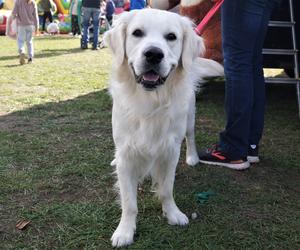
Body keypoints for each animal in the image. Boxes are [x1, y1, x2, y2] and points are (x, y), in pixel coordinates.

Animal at [103, 8, 223, 248]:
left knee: (191, 136)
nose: (153, 54)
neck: (151, 101)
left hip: (189, 116)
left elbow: (167, 189)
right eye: (137, 33)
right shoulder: (126, 153)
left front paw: (173, 213)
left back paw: (193, 157)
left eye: (171, 37)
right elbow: (129, 202)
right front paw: (125, 231)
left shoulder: (170, 150)